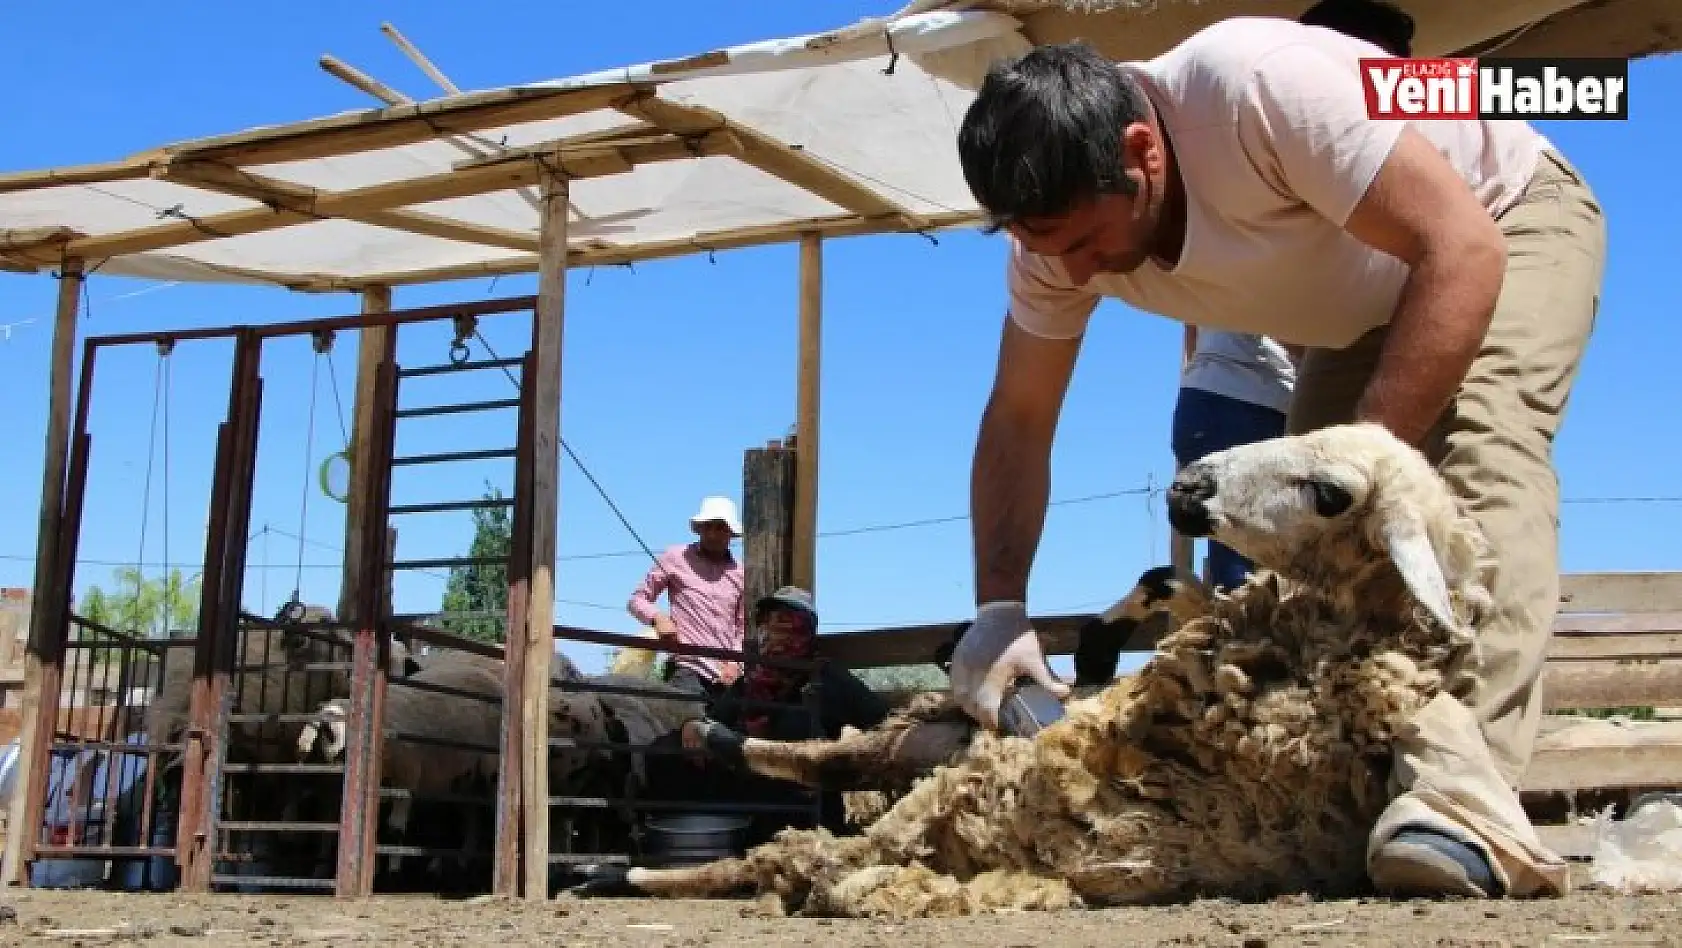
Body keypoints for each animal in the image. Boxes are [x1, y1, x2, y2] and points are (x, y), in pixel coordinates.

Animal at [571, 423, 1554, 921]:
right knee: (824, 764)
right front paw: (1130, 604)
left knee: (795, 843)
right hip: (927, 743)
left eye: (1329, 493)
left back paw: (642, 862)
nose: (1188, 486)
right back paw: (707, 752)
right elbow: (1121, 632)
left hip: (929, 774)